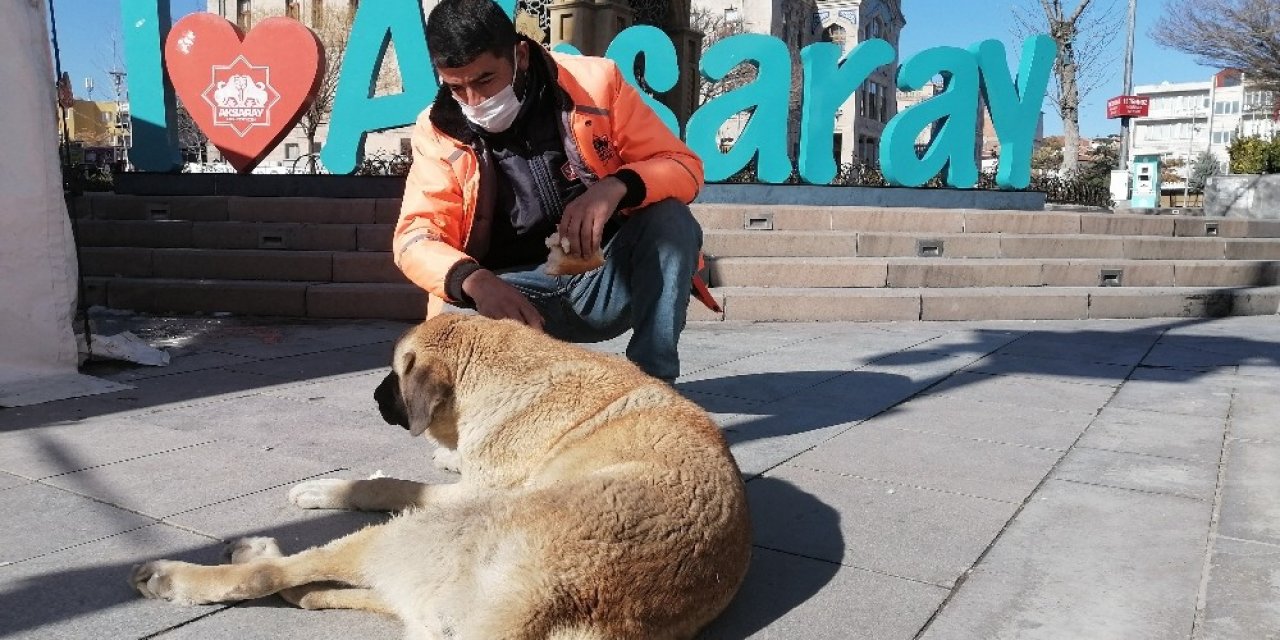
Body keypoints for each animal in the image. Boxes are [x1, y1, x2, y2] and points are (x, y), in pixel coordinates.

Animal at [129, 312, 747, 637]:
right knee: (326, 591)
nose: (372, 396)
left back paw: (190, 574)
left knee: (279, 575)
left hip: (407, 535)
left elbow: (385, 484)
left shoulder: (470, 489)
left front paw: (330, 488)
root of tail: (541, 606)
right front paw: (446, 453)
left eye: (394, 372)